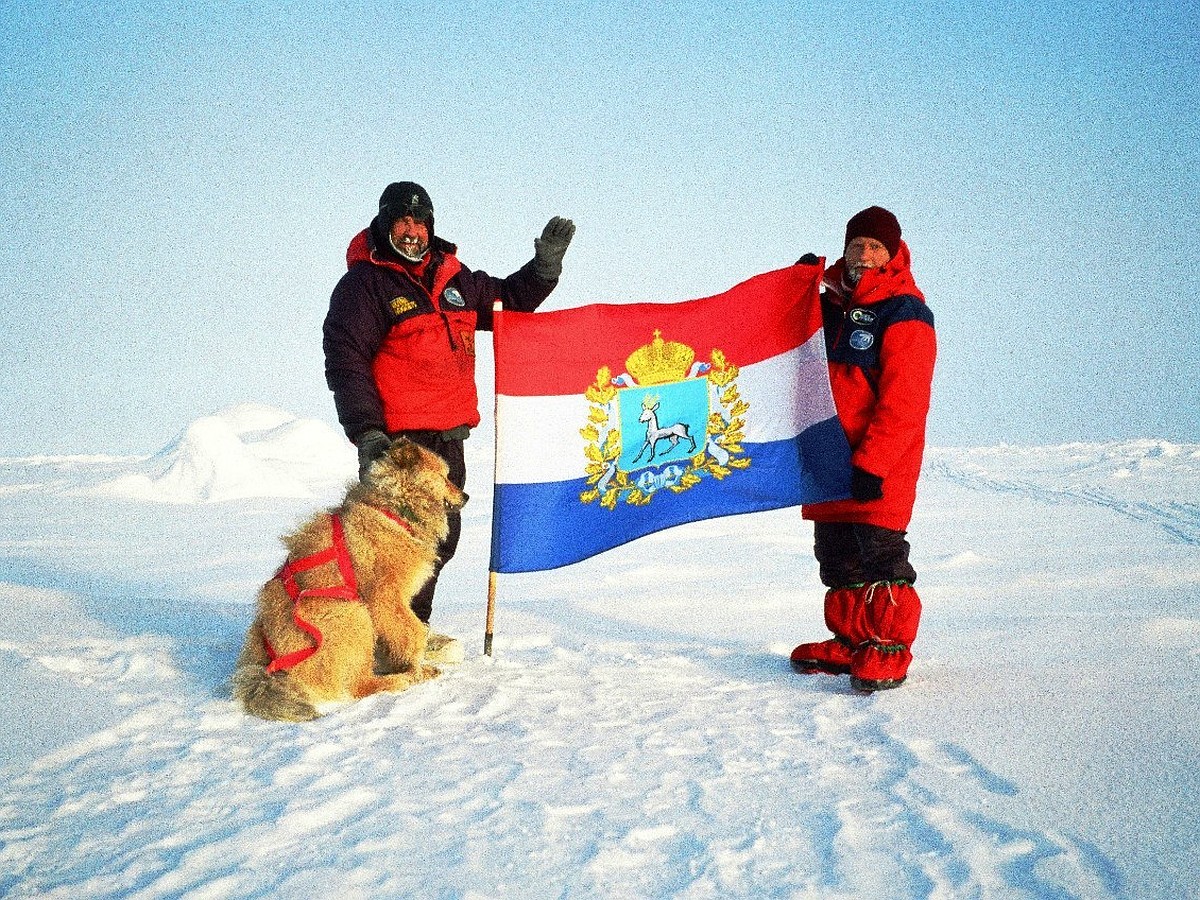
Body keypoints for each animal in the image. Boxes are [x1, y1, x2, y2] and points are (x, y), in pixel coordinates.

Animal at [231, 439, 465, 724]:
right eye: (443, 476)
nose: (466, 496)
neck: (394, 508)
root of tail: (268, 665)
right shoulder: (386, 598)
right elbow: (413, 633)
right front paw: (417, 665)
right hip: (351, 613)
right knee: (359, 685)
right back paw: (399, 679)